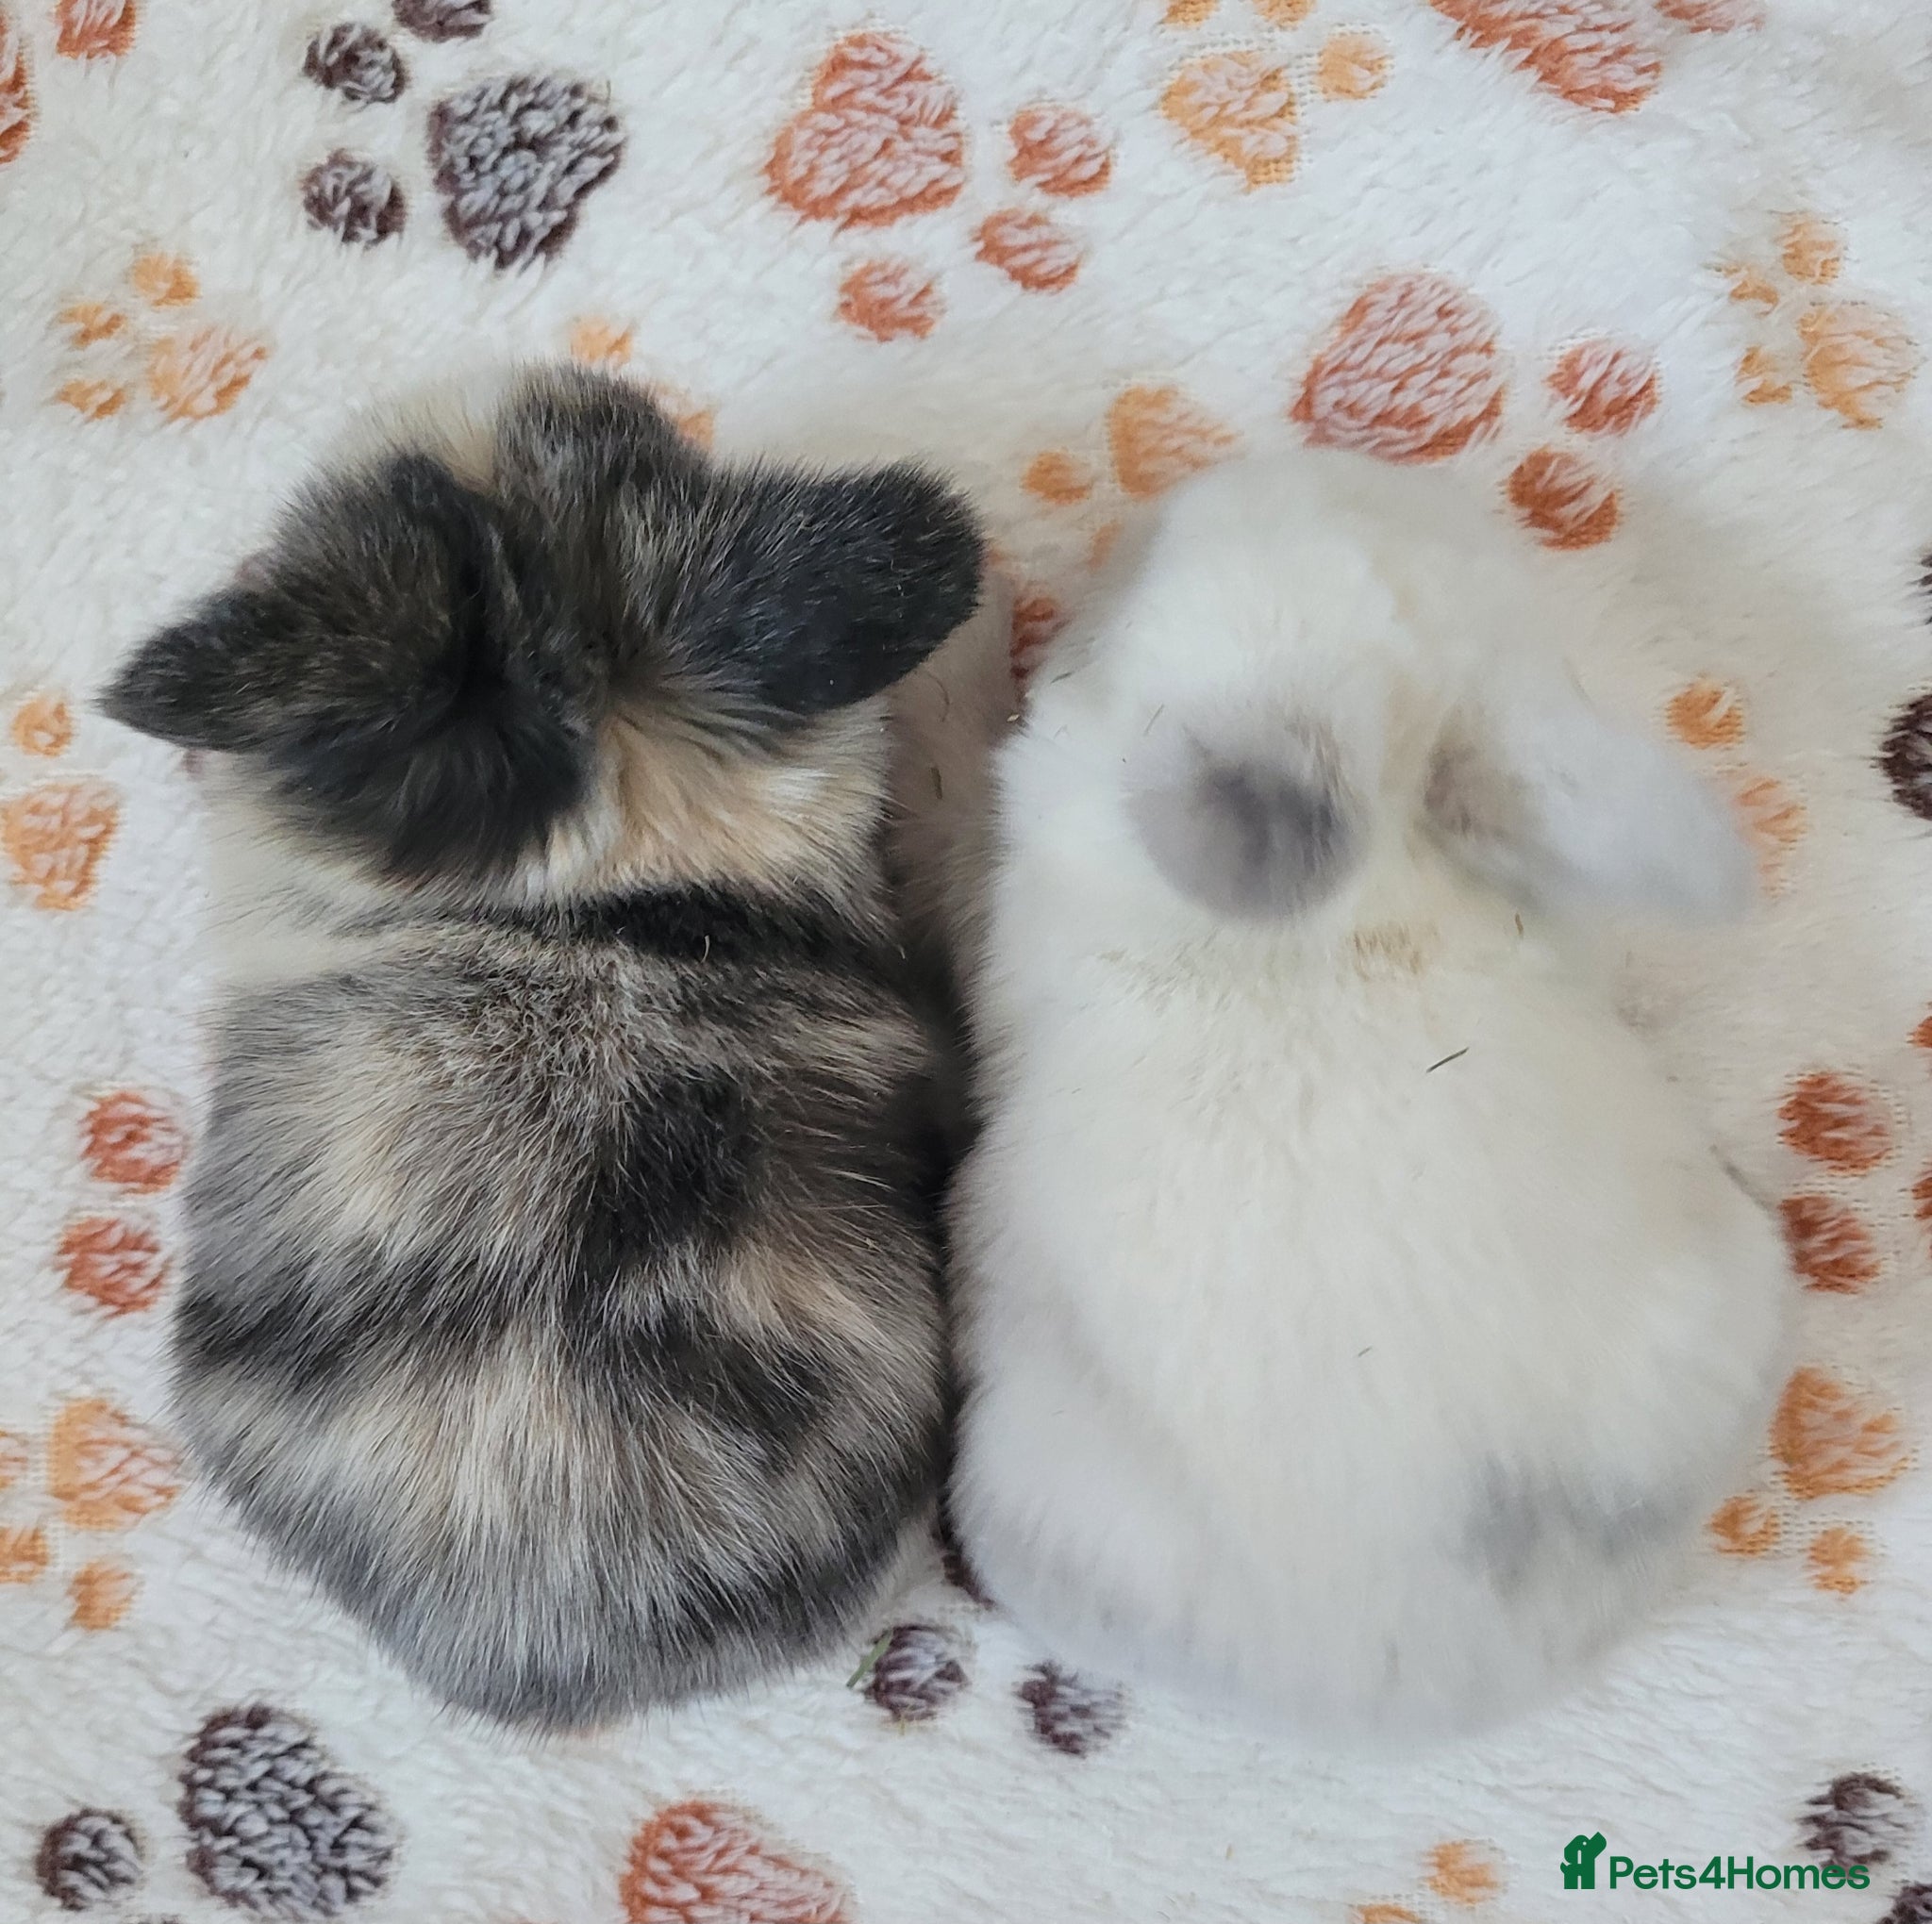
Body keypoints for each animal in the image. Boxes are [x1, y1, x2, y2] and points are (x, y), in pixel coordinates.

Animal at [901, 448, 1793, 1743]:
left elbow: (949, 771)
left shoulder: (984, 870)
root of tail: (1451, 1673)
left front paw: (959, 622)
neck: (1363, 896)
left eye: (1116, 606)